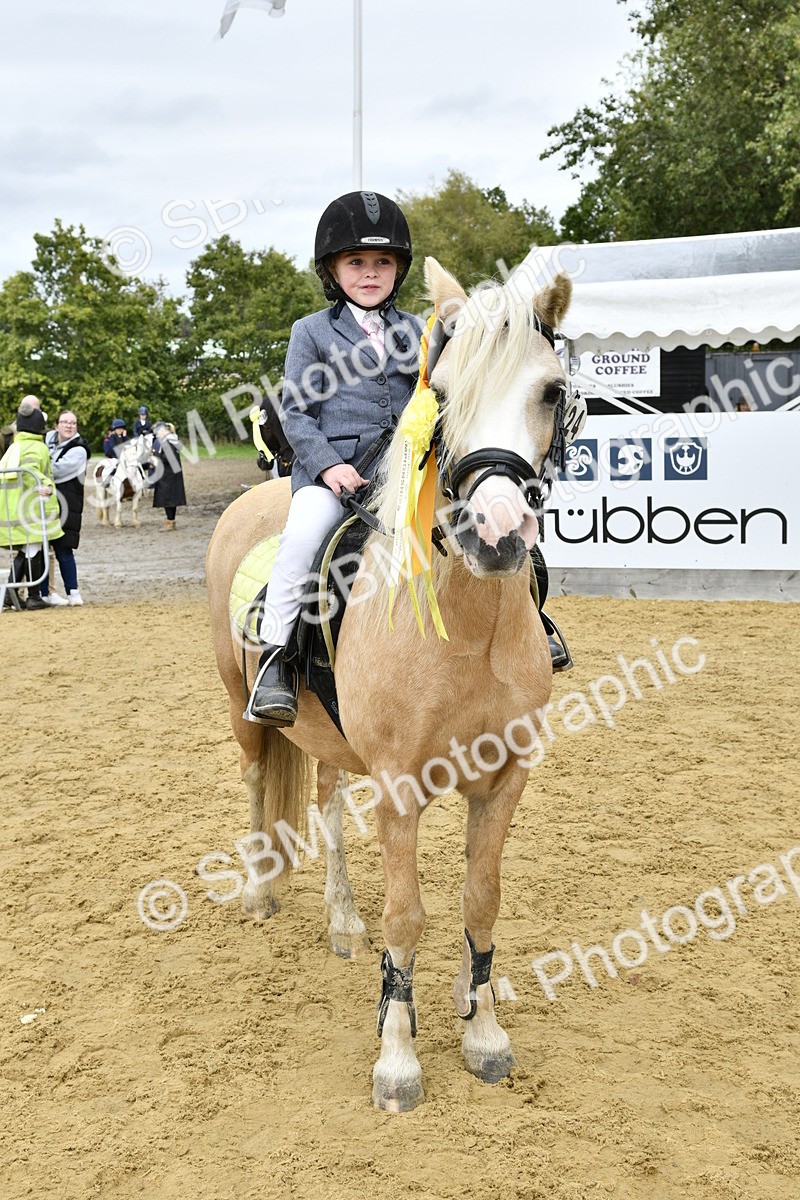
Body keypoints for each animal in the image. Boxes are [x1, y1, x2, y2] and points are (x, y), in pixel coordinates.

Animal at [206, 257, 573, 1112]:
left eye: (551, 390)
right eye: (445, 390)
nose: (495, 534)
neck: (469, 626)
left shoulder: (504, 780)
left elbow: (480, 902)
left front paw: (483, 1034)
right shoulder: (402, 787)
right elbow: (408, 916)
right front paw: (398, 1059)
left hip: (331, 741)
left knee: (328, 810)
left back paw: (342, 923)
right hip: (242, 711)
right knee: (255, 782)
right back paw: (259, 894)